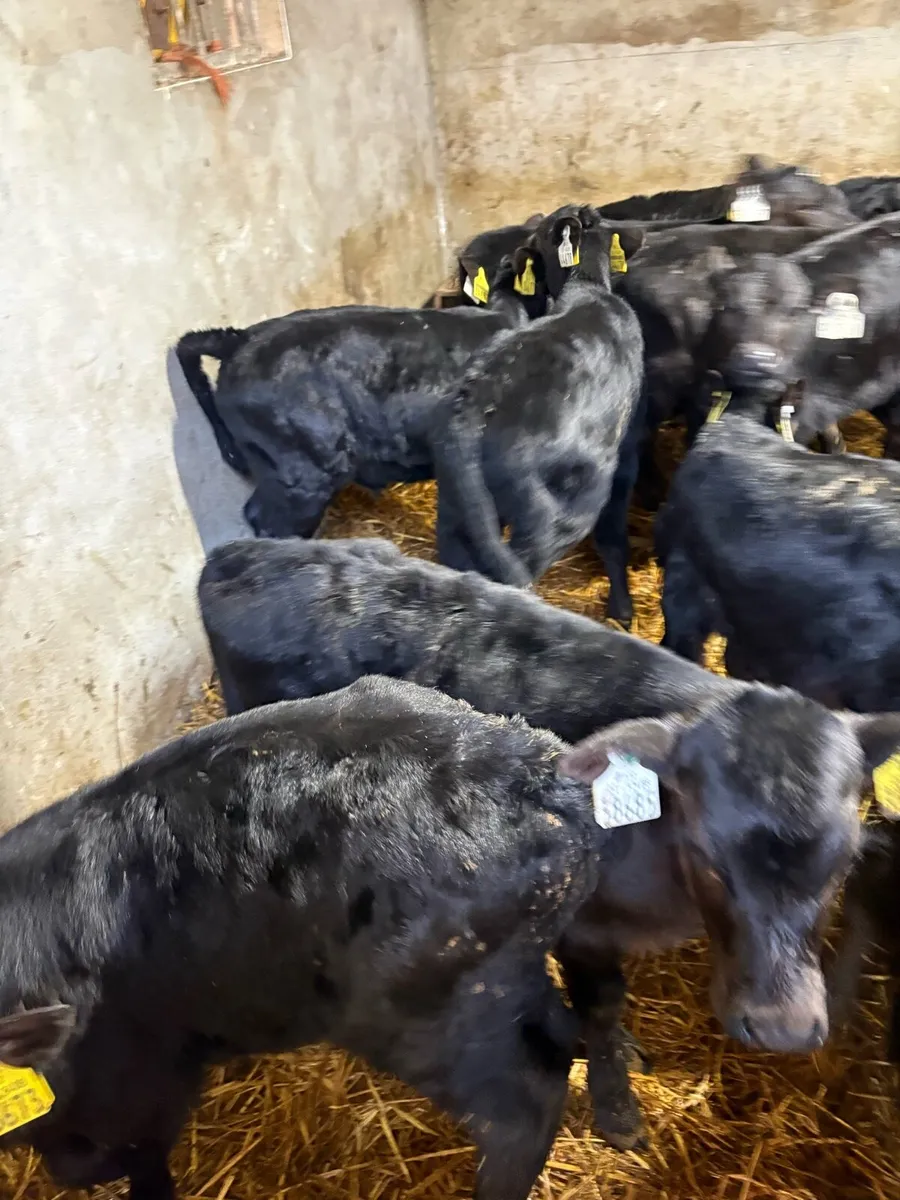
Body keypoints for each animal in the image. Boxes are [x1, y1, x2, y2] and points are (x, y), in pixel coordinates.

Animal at [2, 673, 889, 1196]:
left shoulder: (127, 1080)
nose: (786, 1026)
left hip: (422, 1020)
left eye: (849, 858)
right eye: (709, 855)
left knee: (521, 1110)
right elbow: (600, 1007)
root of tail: (529, 769)